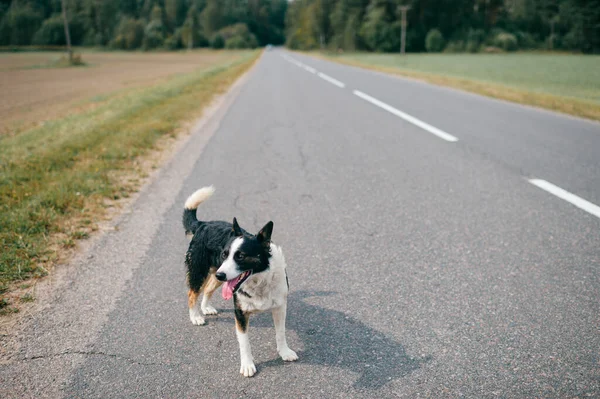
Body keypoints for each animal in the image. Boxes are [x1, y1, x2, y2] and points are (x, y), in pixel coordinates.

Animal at [180, 186, 298, 376]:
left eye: (240, 256)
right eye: (224, 254)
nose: (220, 275)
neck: (259, 280)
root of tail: (203, 224)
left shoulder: (280, 307)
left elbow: (281, 333)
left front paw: (285, 352)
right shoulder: (240, 313)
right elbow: (245, 343)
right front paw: (248, 365)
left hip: (218, 275)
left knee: (208, 288)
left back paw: (206, 308)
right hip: (205, 271)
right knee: (192, 293)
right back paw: (196, 316)